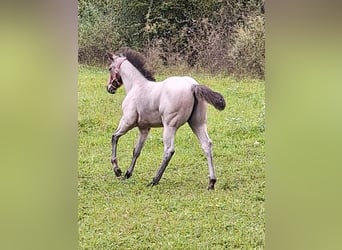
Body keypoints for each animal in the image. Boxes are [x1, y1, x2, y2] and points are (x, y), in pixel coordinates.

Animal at [105, 48, 226, 189]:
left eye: (110, 68)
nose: (109, 88)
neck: (137, 86)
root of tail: (192, 86)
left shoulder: (127, 122)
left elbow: (114, 137)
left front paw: (117, 170)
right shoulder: (144, 128)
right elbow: (136, 150)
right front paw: (127, 174)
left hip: (170, 126)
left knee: (169, 150)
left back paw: (154, 180)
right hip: (197, 123)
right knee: (206, 145)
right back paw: (211, 182)